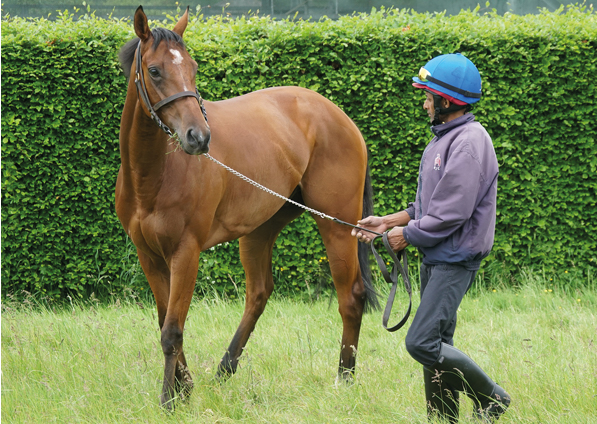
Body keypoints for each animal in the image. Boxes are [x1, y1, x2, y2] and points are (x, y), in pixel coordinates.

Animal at [116, 4, 378, 406]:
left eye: (193, 67)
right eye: (155, 70)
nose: (199, 137)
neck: (153, 176)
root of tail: (340, 117)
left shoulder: (185, 253)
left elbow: (173, 329)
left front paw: (169, 400)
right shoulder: (149, 255)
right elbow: (164, 321)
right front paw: (184, 388)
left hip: (336, 225)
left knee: (351, 296)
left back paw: (344, 378)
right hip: (259, 229)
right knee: (259, 293)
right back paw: (226, 368)